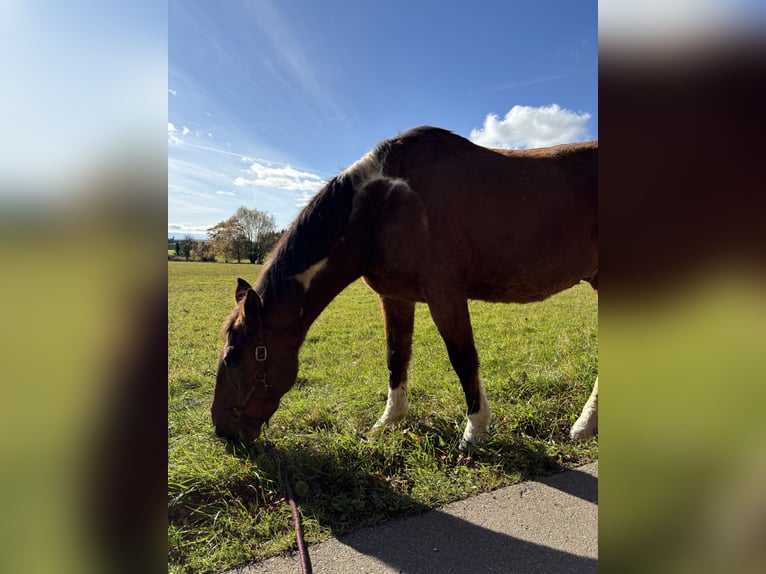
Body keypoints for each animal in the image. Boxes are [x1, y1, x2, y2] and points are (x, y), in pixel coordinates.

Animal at [211, 126, 598, 448]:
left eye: (233, 357)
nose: (222, 430)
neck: (383, 206)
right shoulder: (395, 297)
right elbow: (396, 356)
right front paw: (390, 421)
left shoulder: (445, 294)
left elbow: (463, 359)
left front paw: (474, 431)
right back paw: (586, 425)